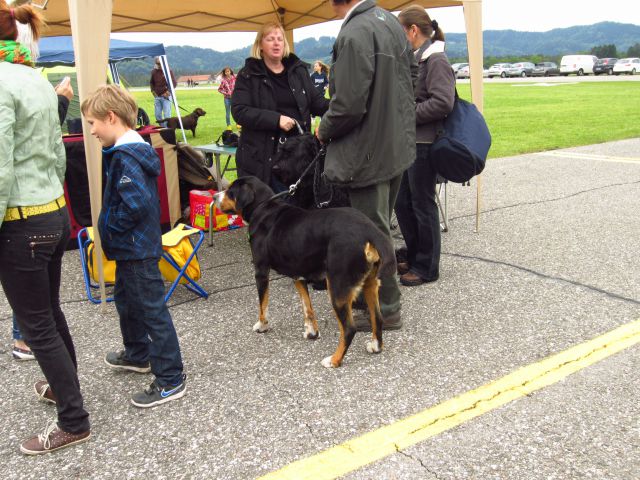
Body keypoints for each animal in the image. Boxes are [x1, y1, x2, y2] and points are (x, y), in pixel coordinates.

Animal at [215, 176, 396, 368]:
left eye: (231, 192)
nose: (214, 197)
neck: (263, 207)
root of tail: (369, 230)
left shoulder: (261, 270)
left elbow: (263, 304)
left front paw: (262, 326)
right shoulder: (298, 275)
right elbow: (307, 307)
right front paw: (312, 333)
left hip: (338, 286)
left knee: (349, 329)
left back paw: (334, 360)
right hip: (370, 283)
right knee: (377, 317)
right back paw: (375, 346)